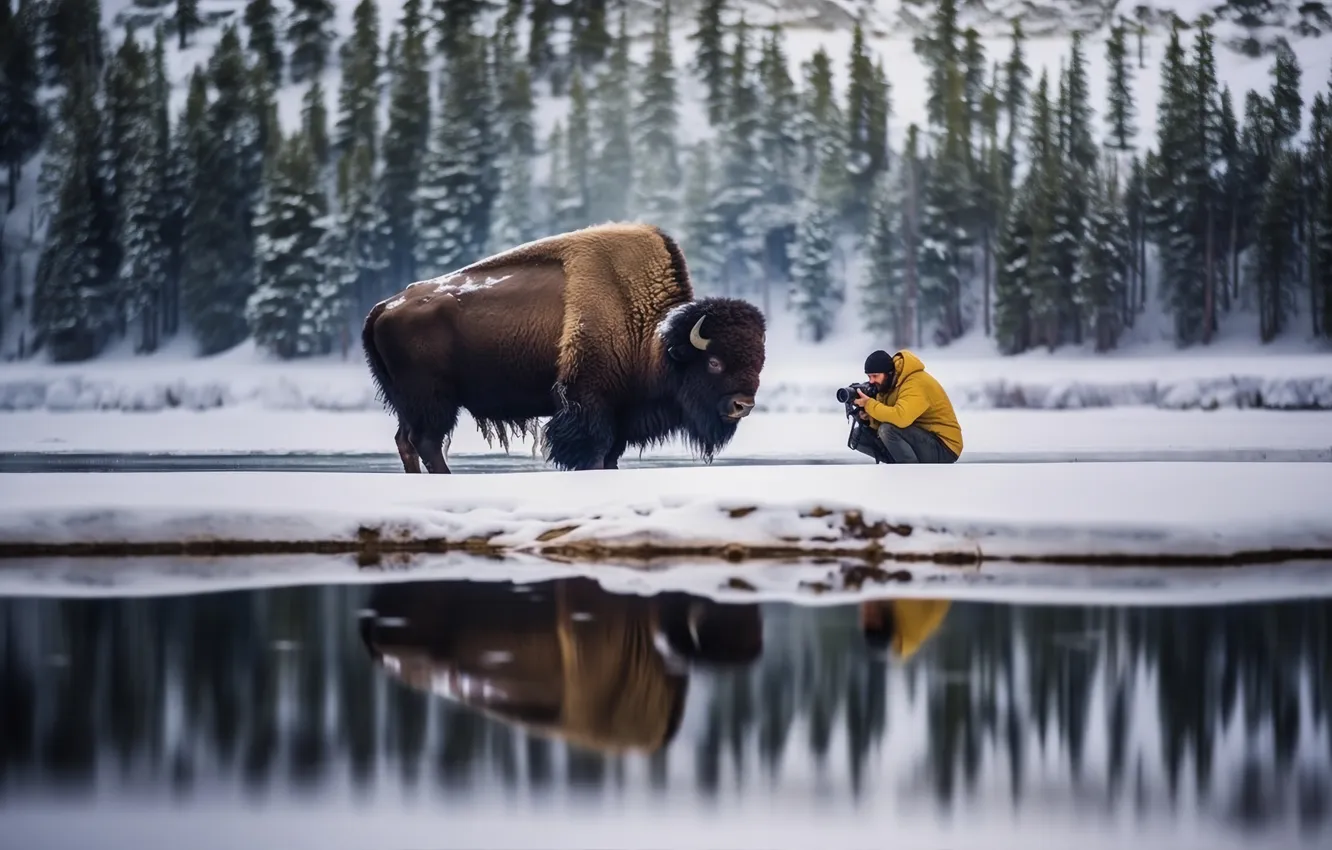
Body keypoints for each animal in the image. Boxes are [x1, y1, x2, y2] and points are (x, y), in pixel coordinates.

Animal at [361, 222, 768, 472]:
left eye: (758, 361)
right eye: (714, 362)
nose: (743, 405)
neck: (652, 334)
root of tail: (385, 306)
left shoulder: (619, 413)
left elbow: (611, 455)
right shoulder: (588, 403)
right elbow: (593, 451)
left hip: (408, 402)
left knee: (406, 441)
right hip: (433, 400)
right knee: (426, 442)